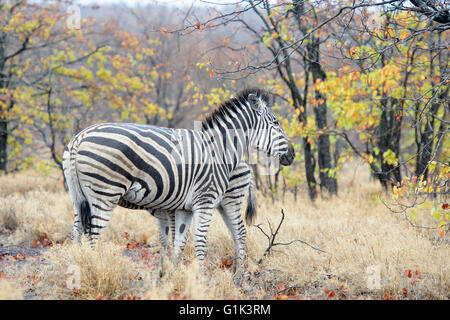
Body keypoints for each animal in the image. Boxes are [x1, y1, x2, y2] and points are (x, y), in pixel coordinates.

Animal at [63, 87, 296, 280]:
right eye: (276, 123)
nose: (292, 154)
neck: (221, 150)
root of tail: (79, 138)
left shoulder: (186, 207)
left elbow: (179, 242)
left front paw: (174, 277)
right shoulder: (205, 201)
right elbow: (198, 240)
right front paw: (200, 279)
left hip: (77, 196)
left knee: (76, 232)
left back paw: (76, 268)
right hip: (105, 194)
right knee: (93, 236)